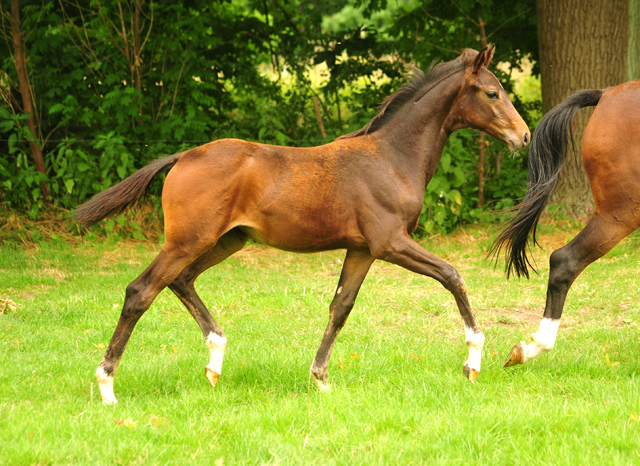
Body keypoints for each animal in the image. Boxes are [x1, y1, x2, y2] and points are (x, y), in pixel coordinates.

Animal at [76, 47, 528, 404]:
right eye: (492, 92)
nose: (523, 137)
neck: (392, 158)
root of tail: (182, 156)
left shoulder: (362, 249)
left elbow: (341, 306)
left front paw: (320, 379)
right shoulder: (390, 242)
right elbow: (453, 276)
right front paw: (474, 359)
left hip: (226, 241)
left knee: (181, 281)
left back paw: (215, 362)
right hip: (189, 241)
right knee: (141, 291)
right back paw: (107, 386)